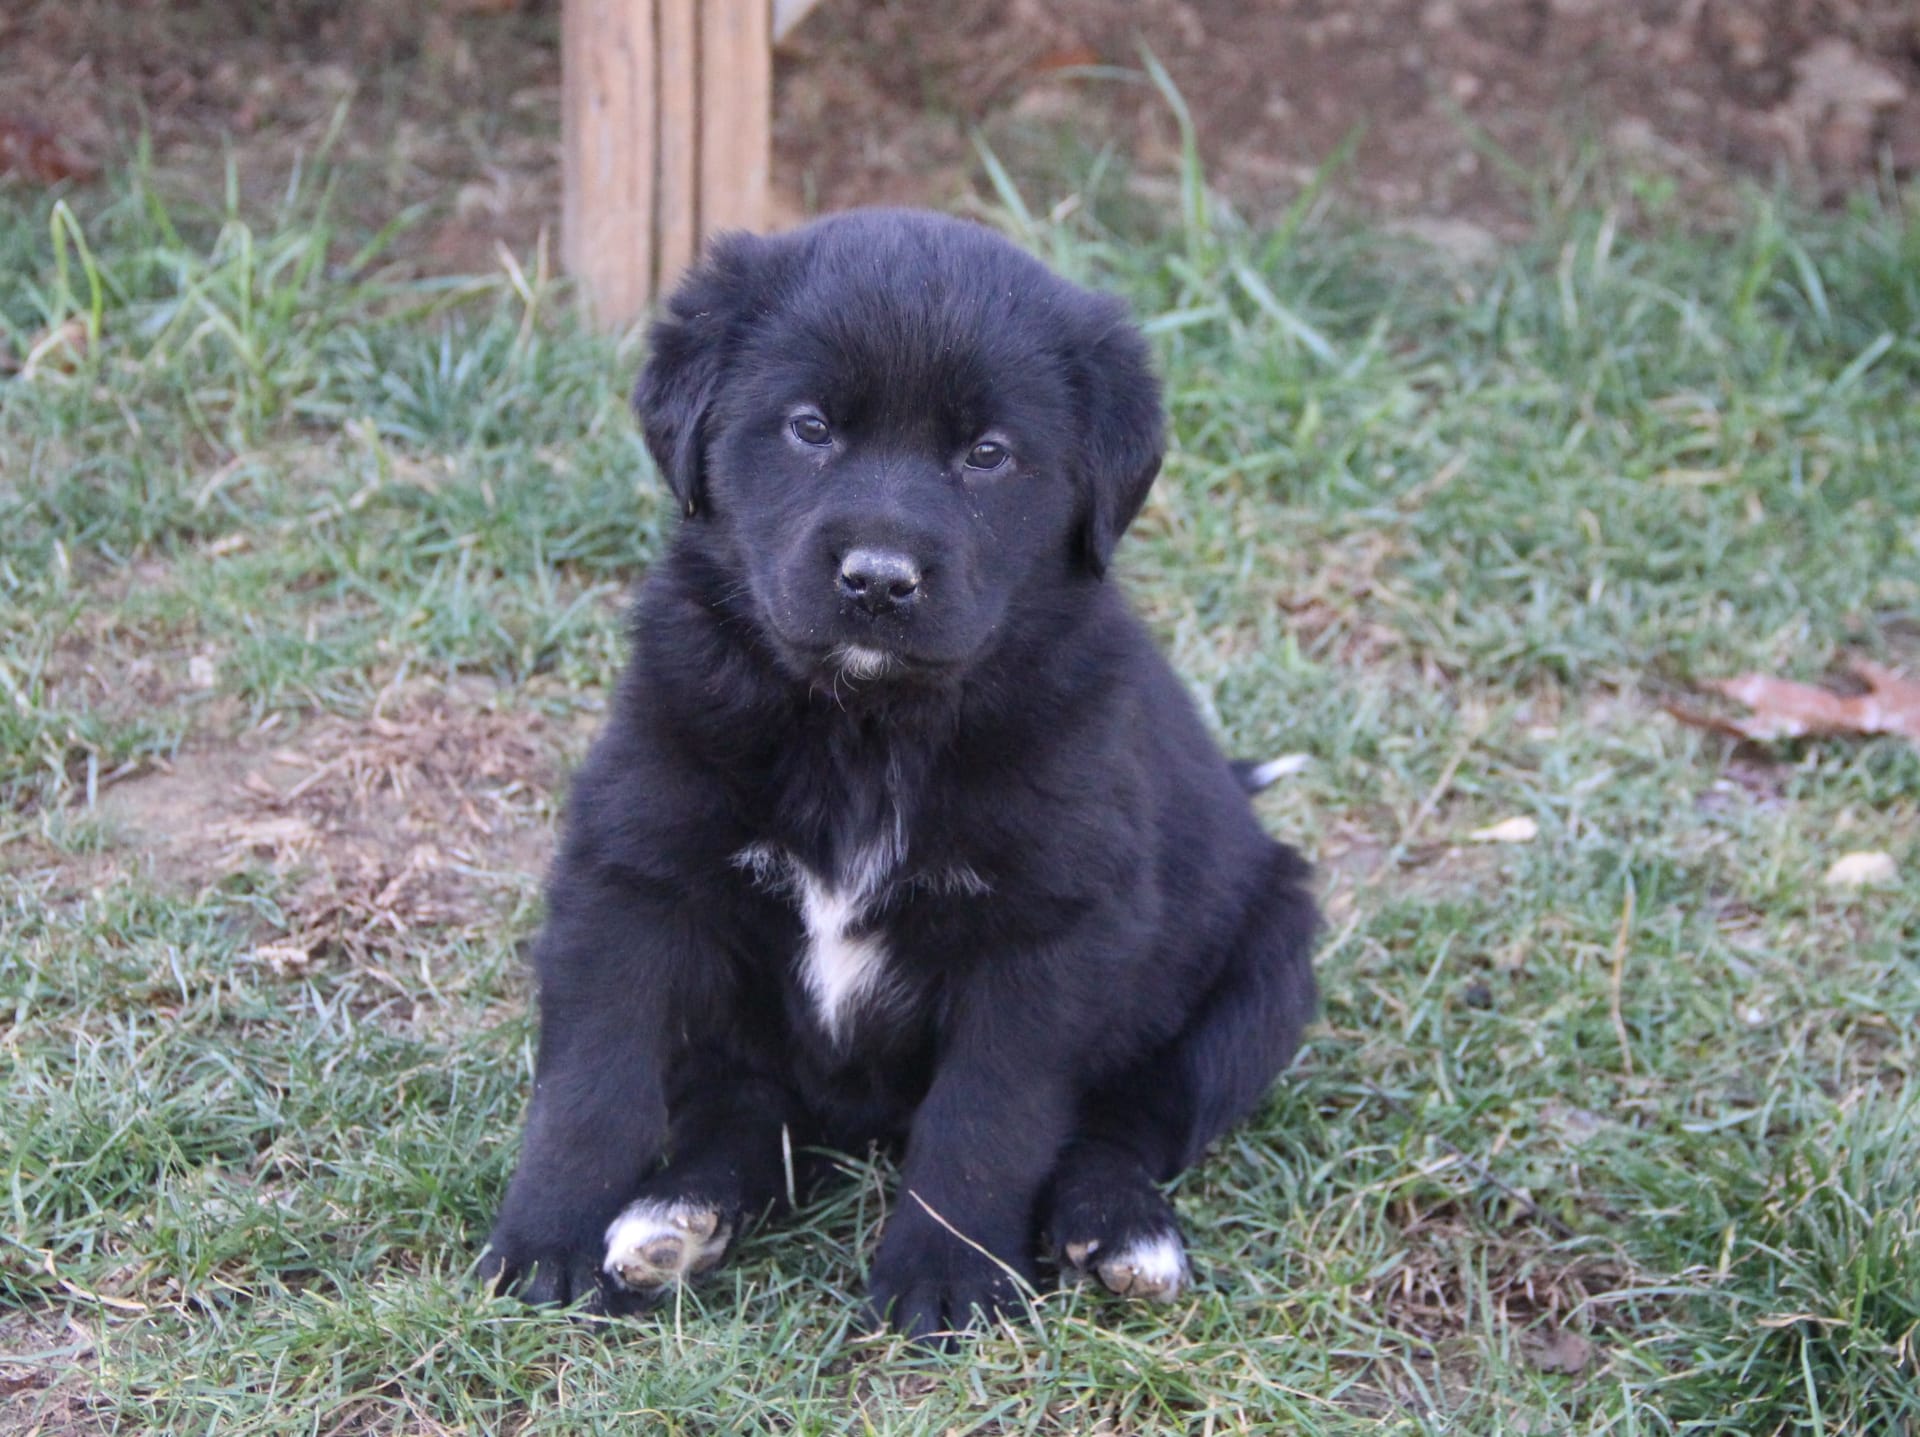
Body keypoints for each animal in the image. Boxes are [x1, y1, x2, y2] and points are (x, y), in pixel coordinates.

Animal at [483, 204, 1320, 1337]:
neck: (866, 728)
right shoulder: (633, 869)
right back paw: (676, 1216)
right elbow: (592, 1082)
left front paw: (946, 1275)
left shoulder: (1048, 933)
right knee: (745, 1111)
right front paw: (547, 1240)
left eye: (988, 454)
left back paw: (1122, 1225)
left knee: (1138, 1114)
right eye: (810, 428)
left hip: (1267, 962)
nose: (878, 581)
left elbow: (987, 1118)